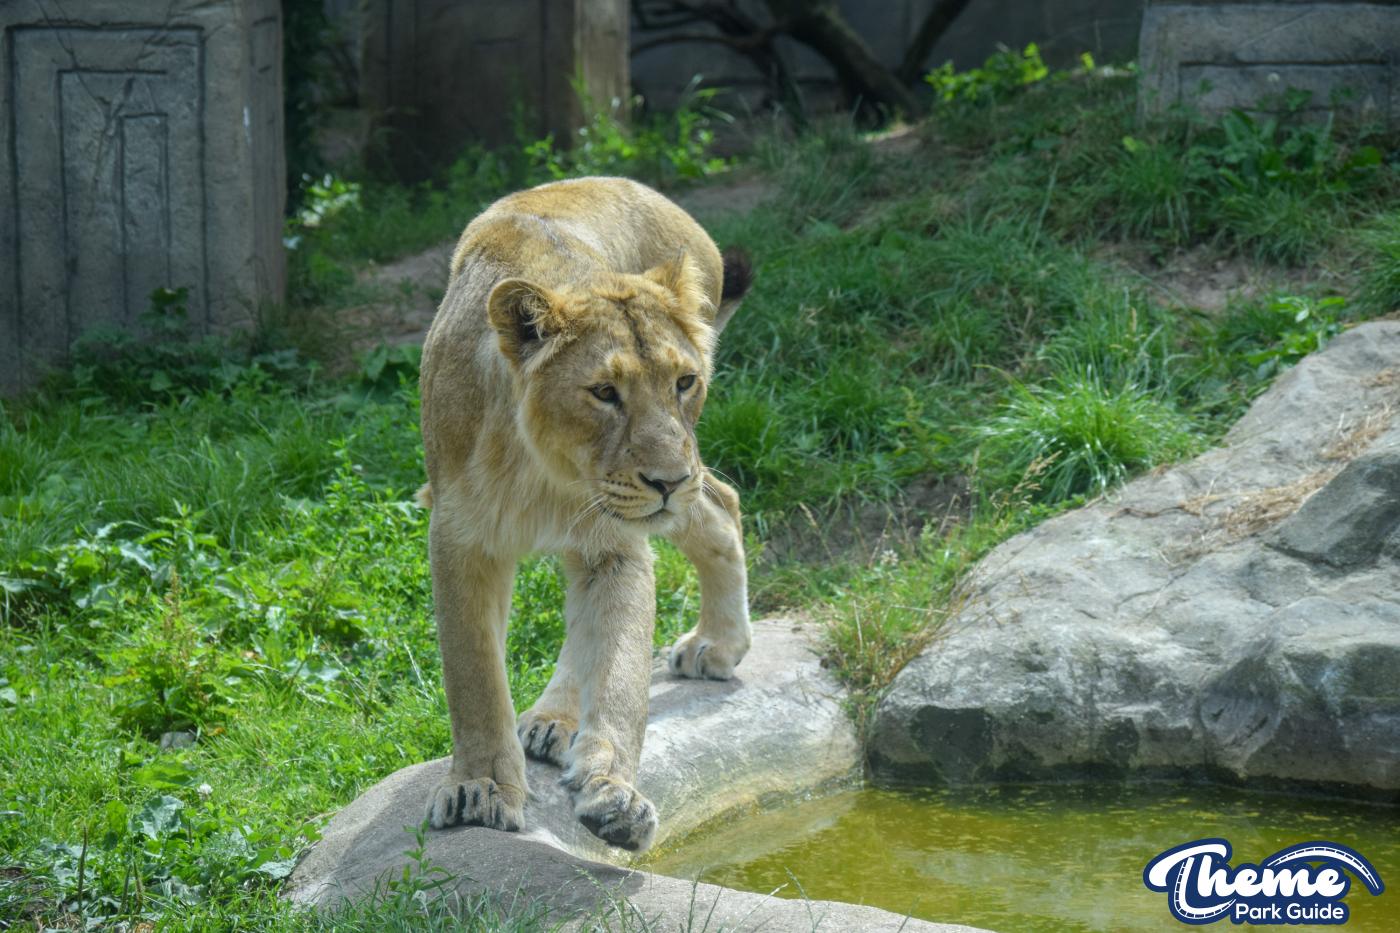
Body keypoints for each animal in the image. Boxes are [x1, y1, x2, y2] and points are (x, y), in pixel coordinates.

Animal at [416, 176, 753, 852]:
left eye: (684, 382)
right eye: (604, 392)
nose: (667, 482)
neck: (545, 470)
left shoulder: (617, 545)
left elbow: (621, 674)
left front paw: (614, 793)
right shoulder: (458, 539)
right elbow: (474, 677)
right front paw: (479, 791)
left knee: (718, 504)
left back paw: (716, 643)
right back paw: (554, 719)